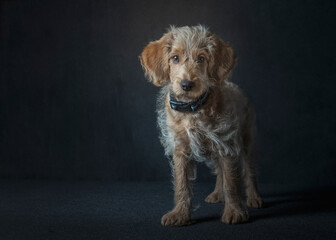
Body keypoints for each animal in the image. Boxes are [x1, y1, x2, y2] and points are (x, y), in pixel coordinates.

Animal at [139, 25, 262, 226]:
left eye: (202, 59)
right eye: (175, 58)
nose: (186, 84)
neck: (192, 110)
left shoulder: (226, 144)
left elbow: (231, 182)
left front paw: (234, 211)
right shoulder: (180, 149)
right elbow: (182, 184)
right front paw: (180, 214)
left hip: (247, 142)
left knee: (249, 170)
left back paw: (253, 197)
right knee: (219, 171)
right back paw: (217, 193)